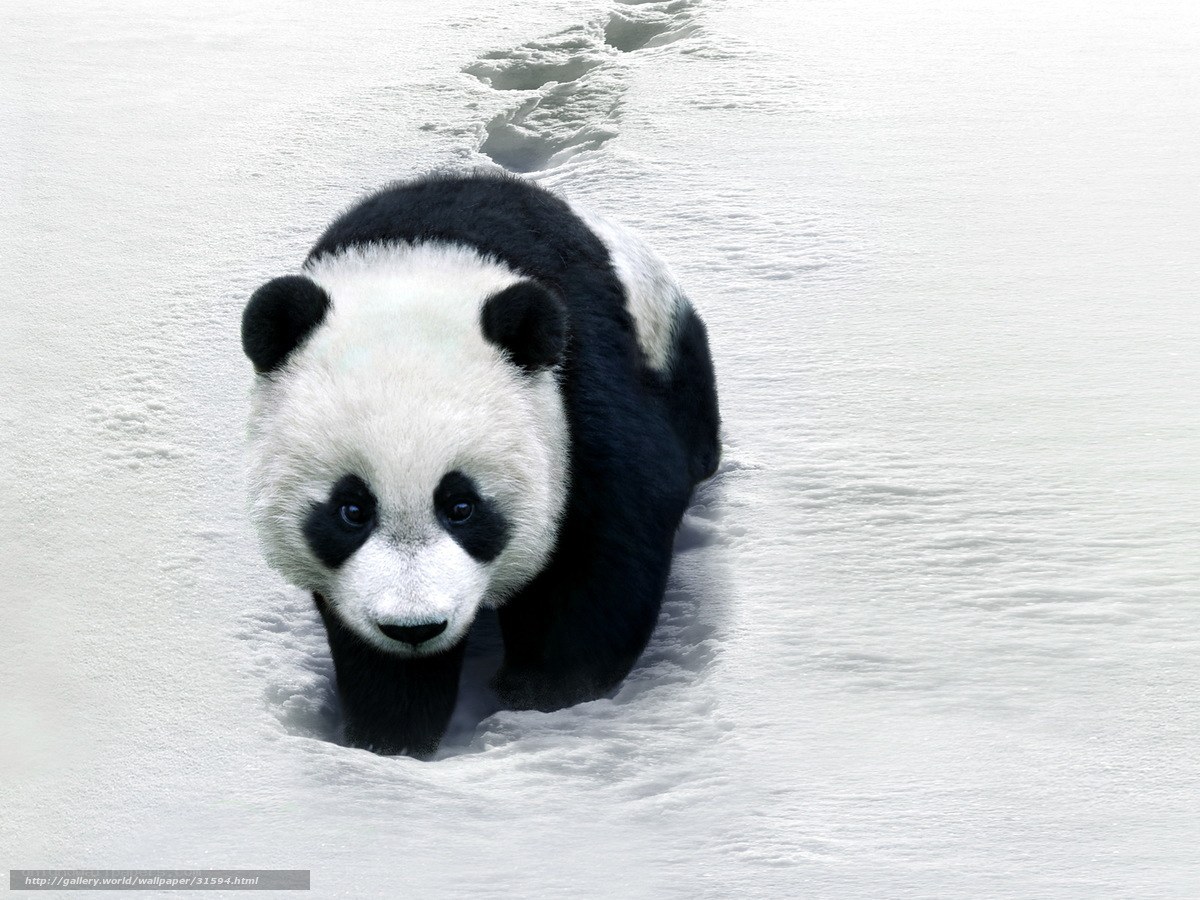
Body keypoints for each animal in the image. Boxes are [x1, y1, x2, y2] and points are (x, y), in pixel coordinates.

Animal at [241, 171, 720, 757]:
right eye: (351, 510)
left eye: (461, 506)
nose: (415, 627)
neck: (420, 258)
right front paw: (390, 732)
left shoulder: (579, 388)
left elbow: (607, 545)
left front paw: (541, 697)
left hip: (666, 341)